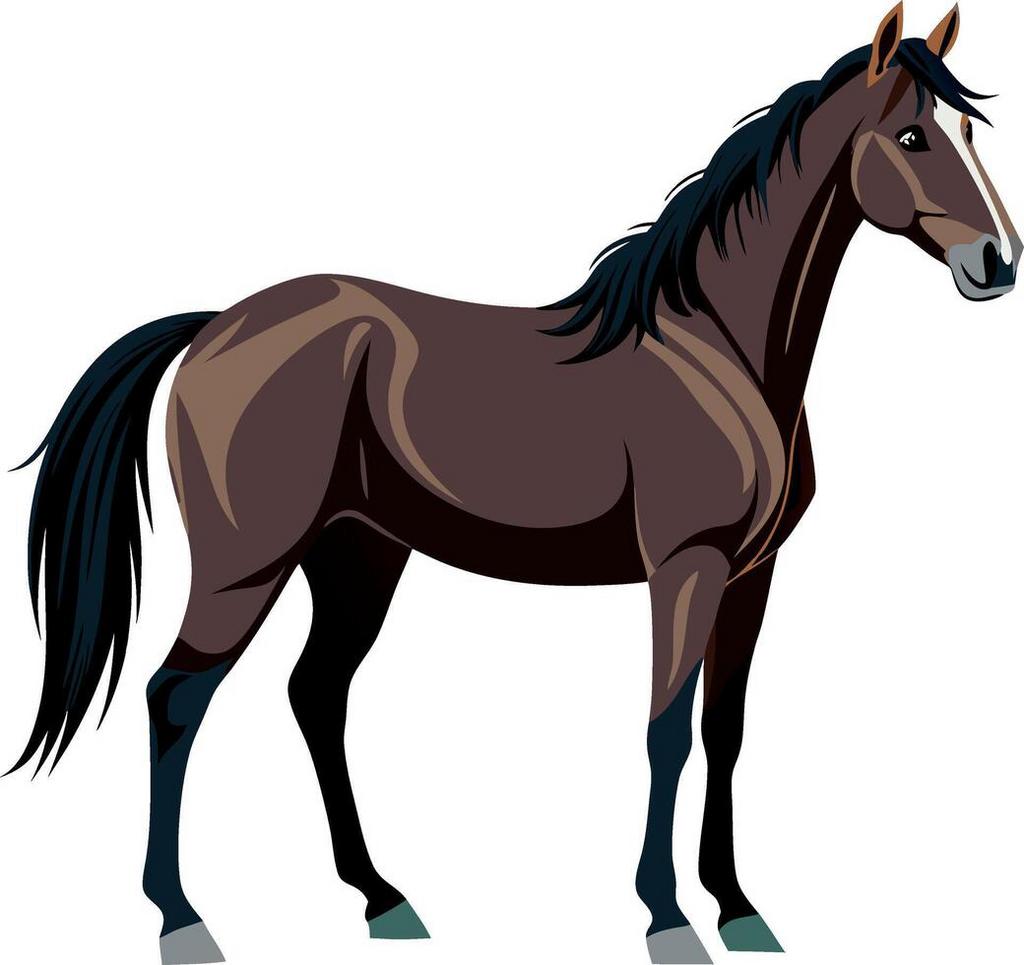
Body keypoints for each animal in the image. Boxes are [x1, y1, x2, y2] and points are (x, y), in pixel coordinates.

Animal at [8, 4, 1017, 963]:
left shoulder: (751, 574)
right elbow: (666, 731)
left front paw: (739, 908)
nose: (997, 263)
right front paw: (667, 918)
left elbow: (725, 731)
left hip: (358, 556)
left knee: (315, 694)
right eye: (914, 136)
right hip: (245, 567)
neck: (719, 347)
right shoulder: (682, 568)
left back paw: (381, 897)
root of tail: (215, 325)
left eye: (969, 132)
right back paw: (182, 919)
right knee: (175, 696)